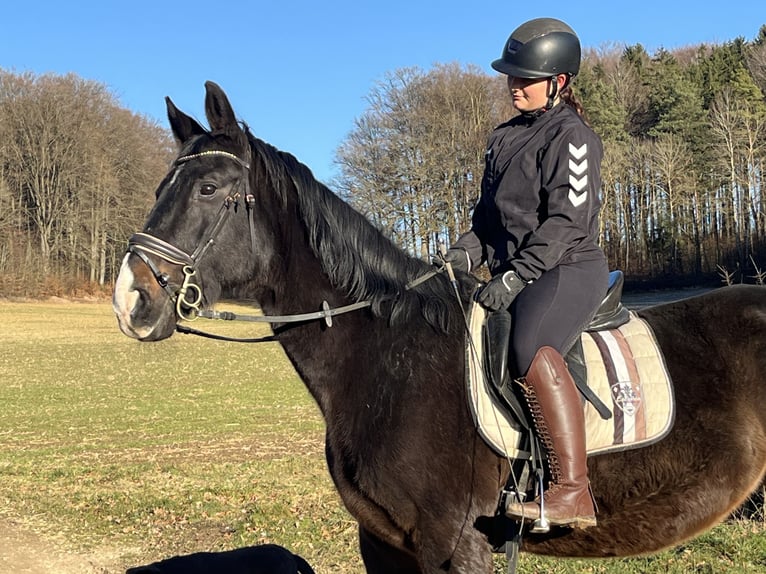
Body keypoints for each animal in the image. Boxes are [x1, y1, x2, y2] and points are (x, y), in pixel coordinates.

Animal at [112, 81, 766, 573]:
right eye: (161, 188)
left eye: (209, 188)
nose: (130, 298)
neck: (390, 360)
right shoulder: (383, 545)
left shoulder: (456, 546)